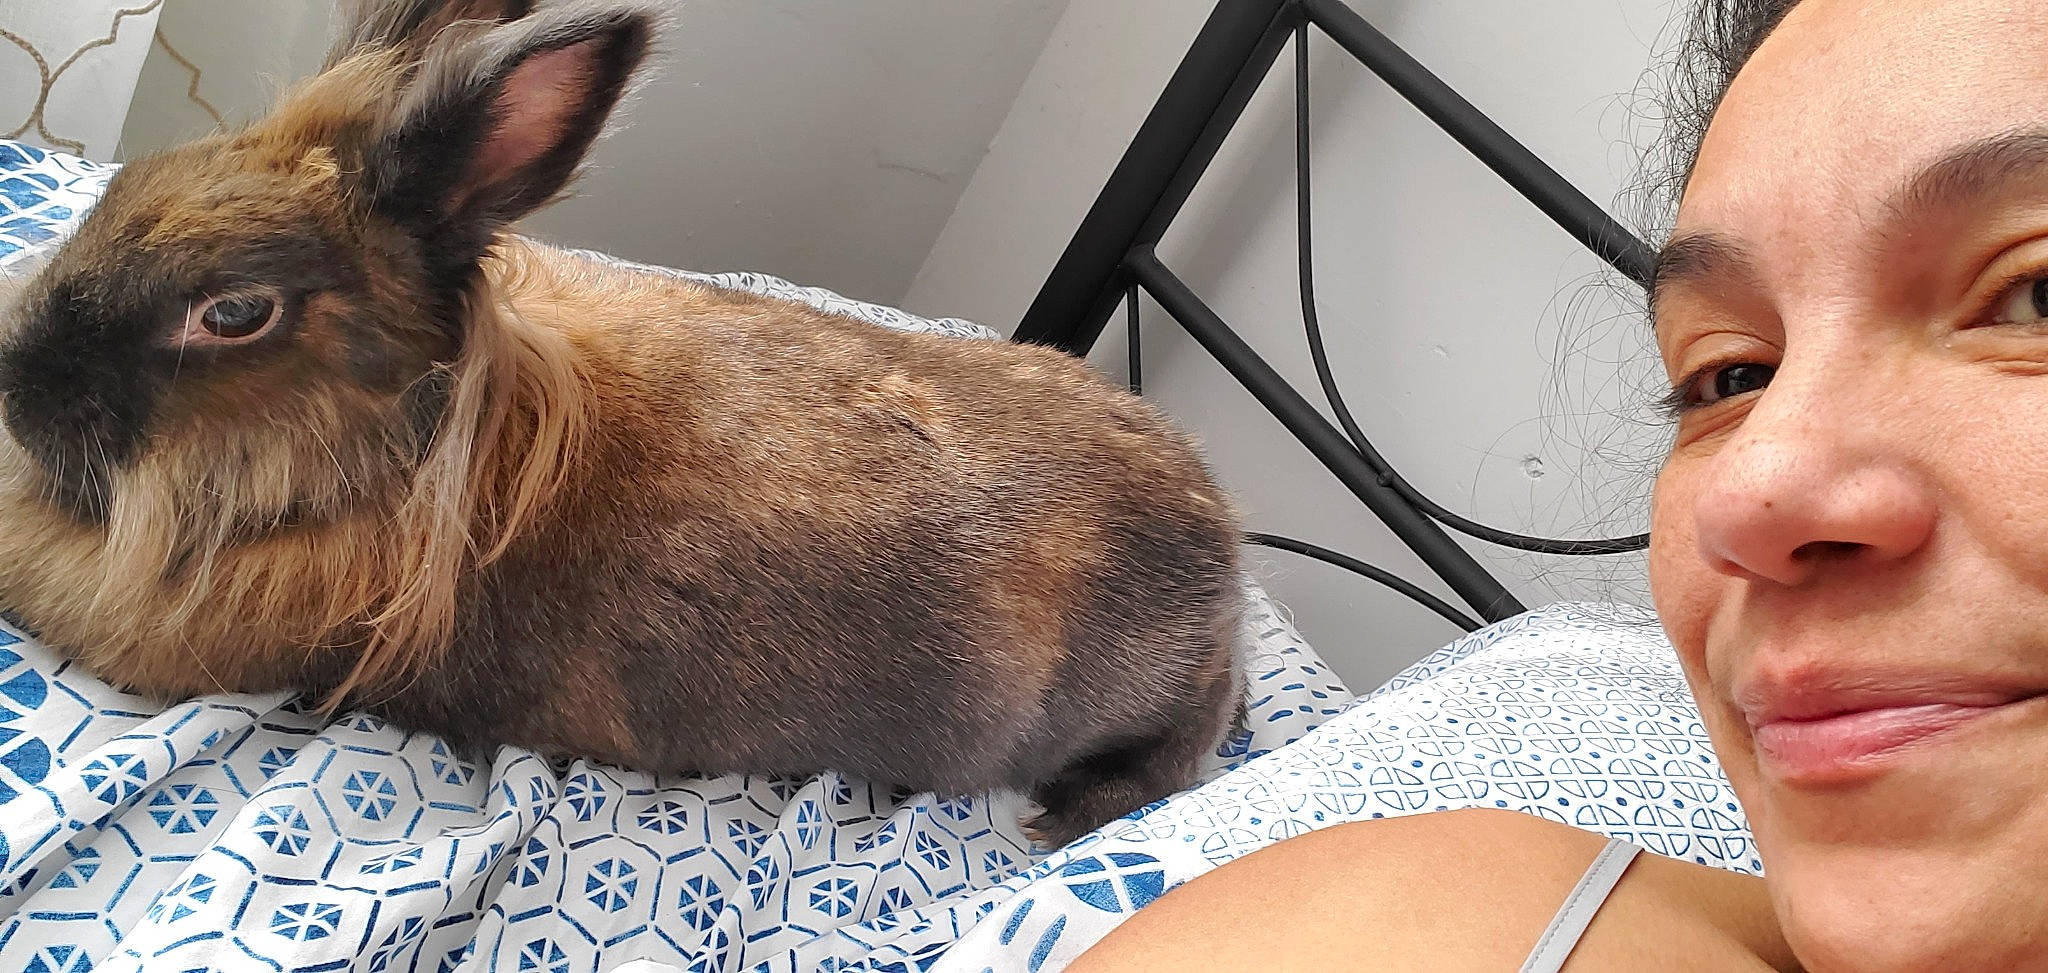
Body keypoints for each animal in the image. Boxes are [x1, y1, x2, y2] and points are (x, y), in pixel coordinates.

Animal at [0, 0, 1243, 846]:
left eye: (233, 312)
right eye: (125, 189)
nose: (15, 382)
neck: (406, 451)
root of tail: (1227, 558)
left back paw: (1067, 814)